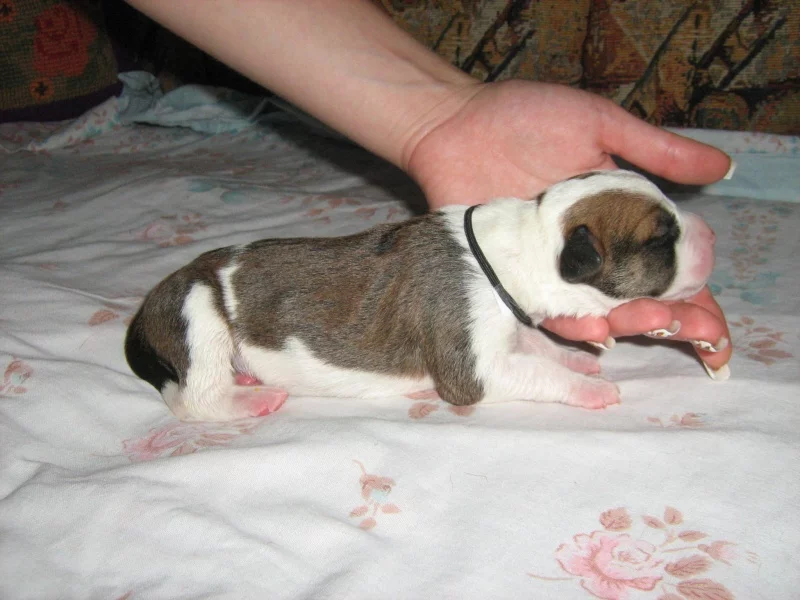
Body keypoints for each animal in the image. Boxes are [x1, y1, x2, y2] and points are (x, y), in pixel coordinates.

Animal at [125, 170, 716, 421]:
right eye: (662, 238)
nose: (711, 235)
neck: (518, 248)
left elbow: (535, 347)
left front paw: (574, 357)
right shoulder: (471, 369)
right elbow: (531, 372)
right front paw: (589, 388)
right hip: (198, 313)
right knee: (193, 399)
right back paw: (251, 399)